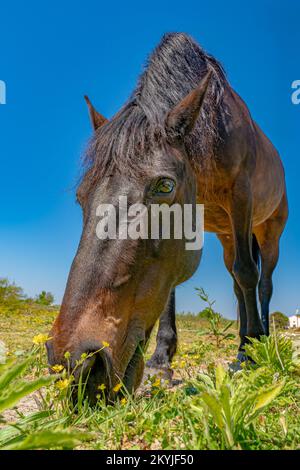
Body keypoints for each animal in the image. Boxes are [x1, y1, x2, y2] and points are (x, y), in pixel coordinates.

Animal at [45, 33, 288, 402]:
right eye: (80, 195)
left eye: (164, 185)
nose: (76, 364)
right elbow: (175, 288)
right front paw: (162, 361)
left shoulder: (240, 196)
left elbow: (249, 273)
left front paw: (250, 352)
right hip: (228, 236)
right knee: (236, 281)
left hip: (267, 230)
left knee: (261, 282)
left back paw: (256, 344)